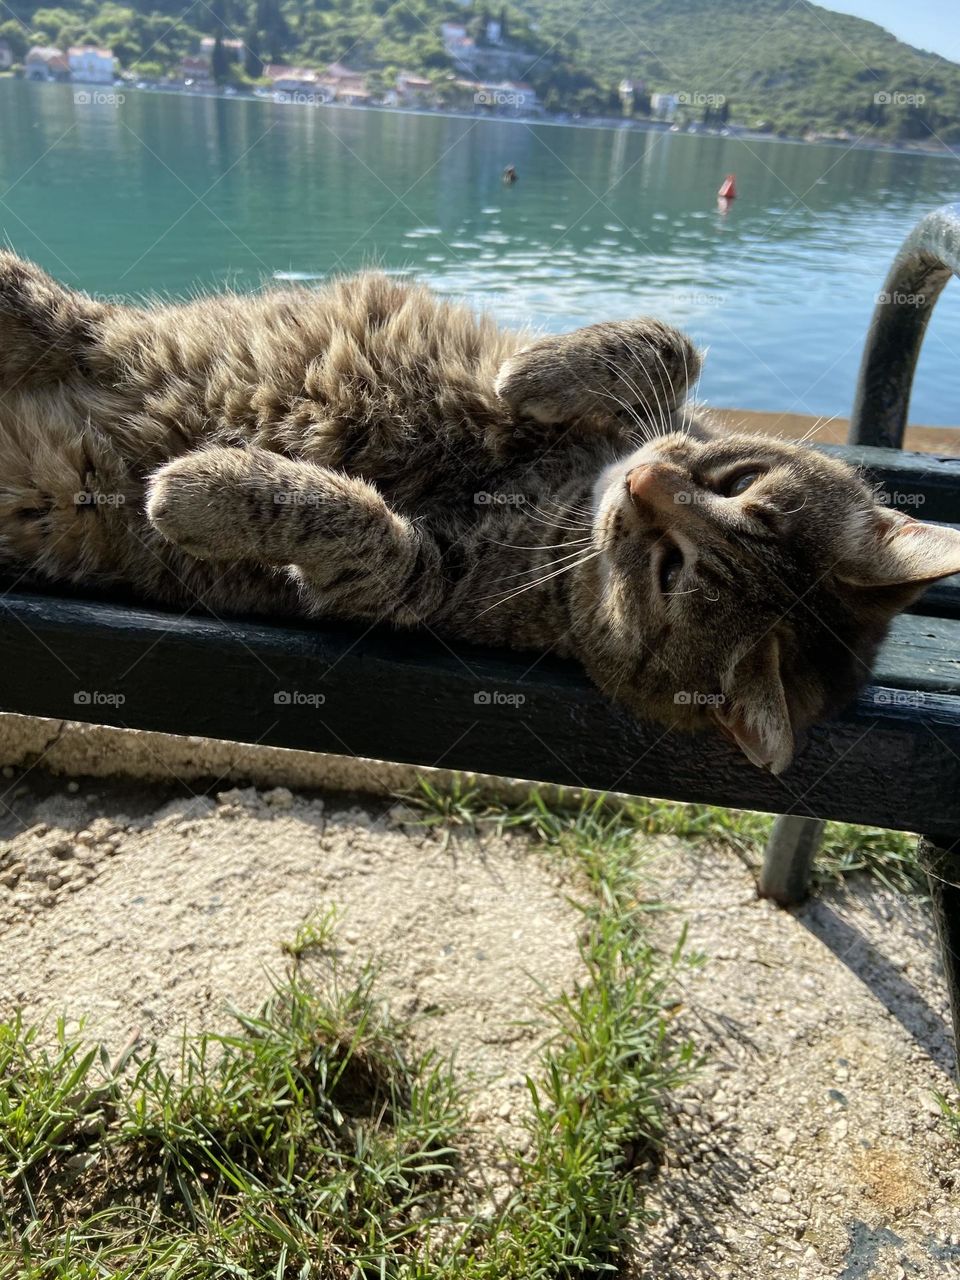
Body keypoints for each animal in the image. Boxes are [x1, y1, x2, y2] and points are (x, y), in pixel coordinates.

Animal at [1, 249, 960, 768]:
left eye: (670, 574)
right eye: (741, 482)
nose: (645, 486)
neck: (571, 492)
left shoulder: (400, 584)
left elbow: (352, 519)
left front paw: (201, 487)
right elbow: (670, 344)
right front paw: (537, 373)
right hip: (74, 321)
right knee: (56, 314)